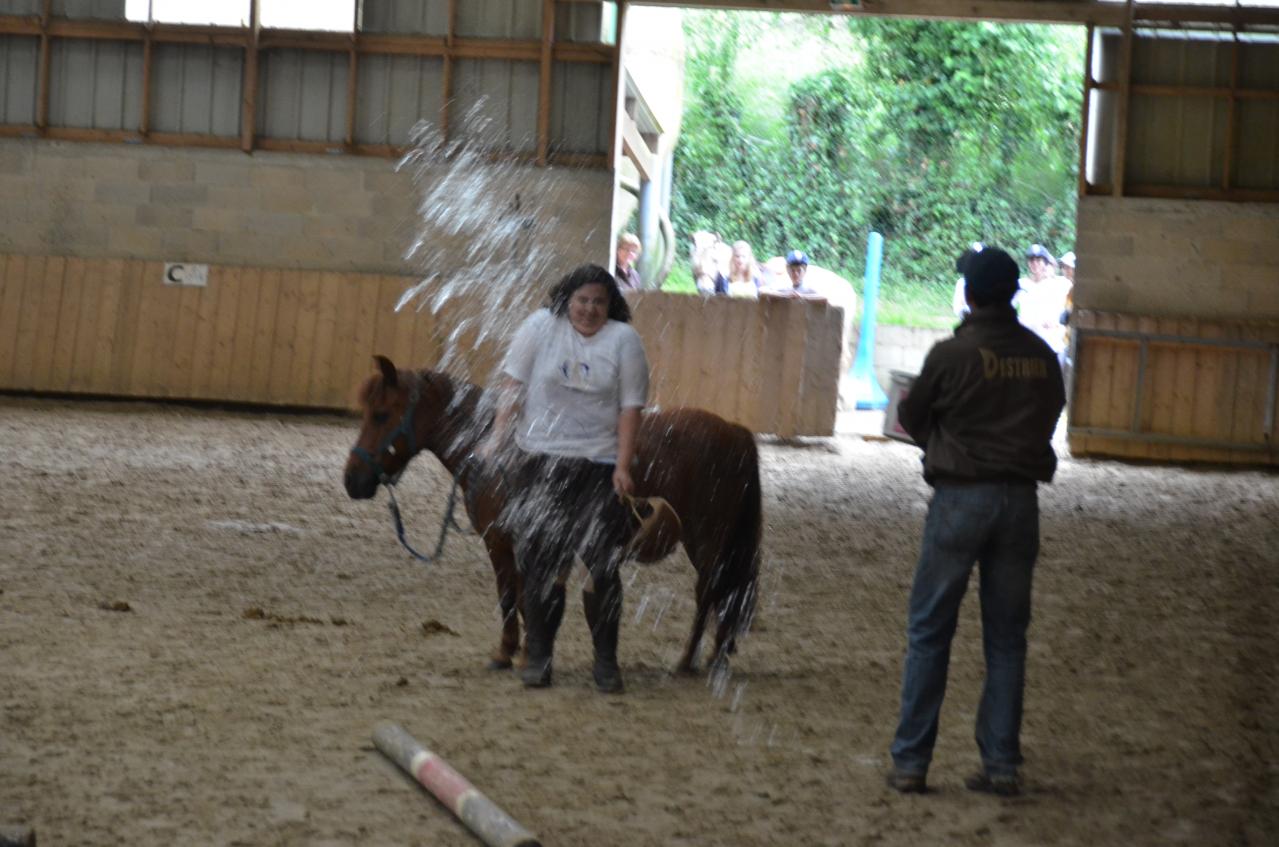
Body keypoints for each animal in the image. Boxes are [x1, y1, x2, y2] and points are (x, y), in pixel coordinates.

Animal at [342, 355, 757, 675]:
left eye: (381, 415)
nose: (352, 480)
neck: (495, 451)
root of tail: (734, 430)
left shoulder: (505, 541)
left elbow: (516, 596)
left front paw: (517, 654)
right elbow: (519, 596)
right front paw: (519, 652)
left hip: (707, 538)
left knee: (708, 592)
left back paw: (688, 661)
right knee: (725, 596)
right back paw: (716, 657)